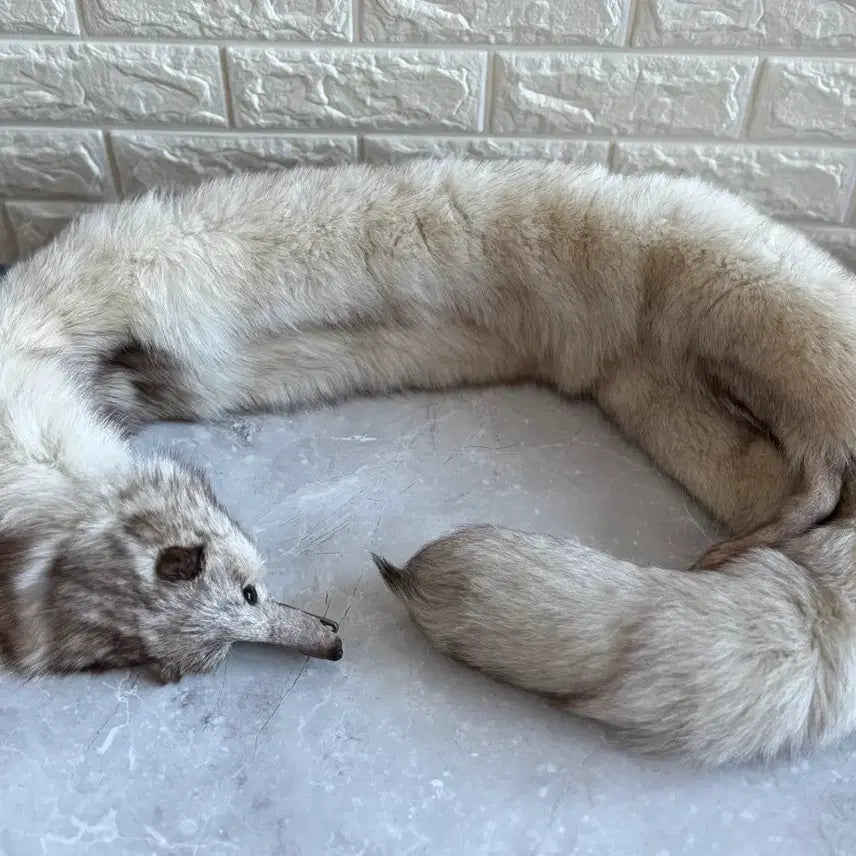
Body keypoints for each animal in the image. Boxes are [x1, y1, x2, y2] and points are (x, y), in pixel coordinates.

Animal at [1, 158, 855, 759]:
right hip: (664, 402)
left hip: (748, 313)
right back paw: (749, 536)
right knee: (778, 474)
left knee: (821, 450)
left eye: (249, 593)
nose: (332, 642)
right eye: (219, 651)